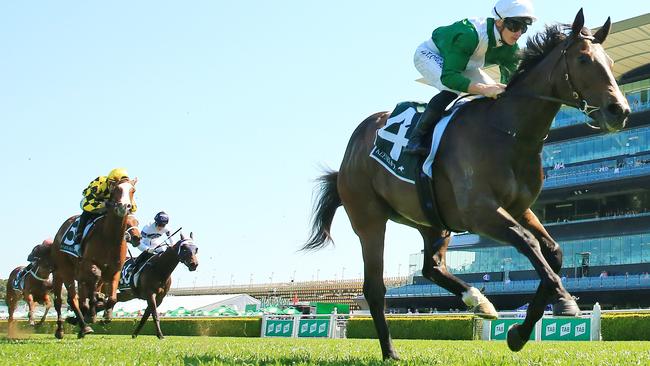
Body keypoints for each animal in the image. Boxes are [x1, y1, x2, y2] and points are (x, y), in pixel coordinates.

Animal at [50, 179, 137, 338]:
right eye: (115, 189)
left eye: (132, 190)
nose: (124, 206)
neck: (110, 237)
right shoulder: (88, 264)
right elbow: (94, 280)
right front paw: (93, 308)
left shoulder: (115, 269)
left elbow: (112, 298)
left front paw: (103, 313)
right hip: (63, 271)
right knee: (66, 299)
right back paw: (76, 328)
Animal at [302, 9, 628, 360]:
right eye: (583, 59)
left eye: (610, 61)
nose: (620, 111)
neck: (509, 133)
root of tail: (350, 153)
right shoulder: (480, 212)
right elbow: (528, 243)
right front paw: (565, 302)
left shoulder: (520, 208)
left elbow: (552, 252)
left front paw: (520, 332)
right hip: (369, 218)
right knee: (375, 287)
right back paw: (390, 351)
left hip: (431, 220)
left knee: (431, 268)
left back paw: (478, 300)